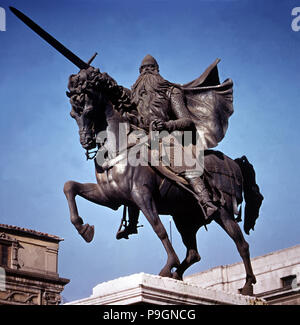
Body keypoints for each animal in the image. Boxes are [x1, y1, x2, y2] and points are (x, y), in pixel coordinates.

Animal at [63, 67, 262, 294]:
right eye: (73, 114)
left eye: (88, 111)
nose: (86, 142)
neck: (118, 148)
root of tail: (234, 164)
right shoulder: (110, 197)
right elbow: (70, 187)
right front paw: (84, 229)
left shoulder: (142, 195)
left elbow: (159, 229)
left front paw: (169, 264)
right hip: (184, 218)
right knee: (194, 253)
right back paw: (177, 275)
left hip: (224, 212)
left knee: (241, 244)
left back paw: (247, 286)